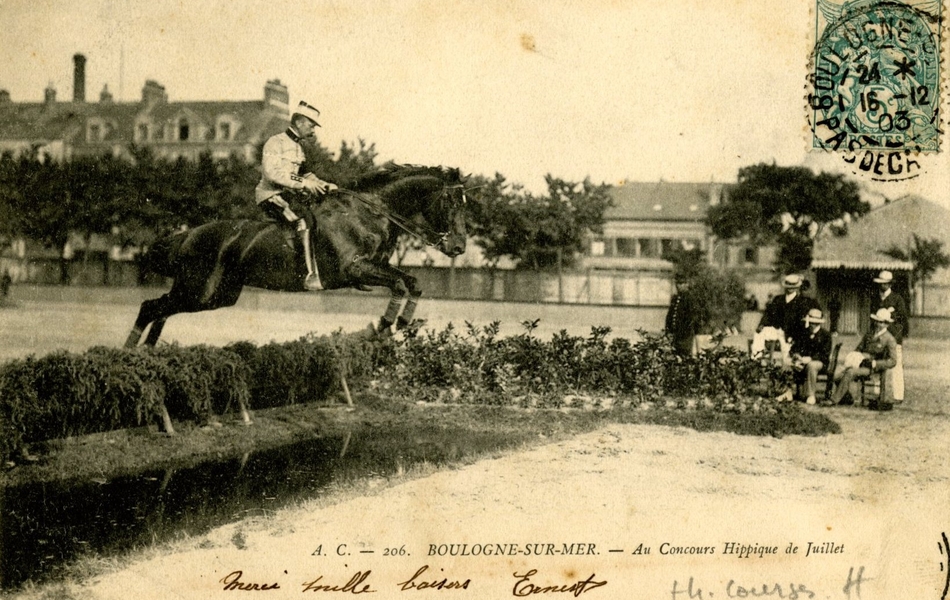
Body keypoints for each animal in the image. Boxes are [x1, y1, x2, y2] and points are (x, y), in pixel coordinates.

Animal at [124, 164, 470, 350]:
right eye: (452, 203)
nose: (459, 247)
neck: (366, 212)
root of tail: (187, 235)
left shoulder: (378, 266)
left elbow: (413, 282)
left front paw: (404, 322)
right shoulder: (354, 269)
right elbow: (399, 284)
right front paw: (383, 325)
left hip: (215, 295)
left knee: (161, 310)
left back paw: (149, 352)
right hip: (199, 290)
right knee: (150, 307)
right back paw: (130, 352)